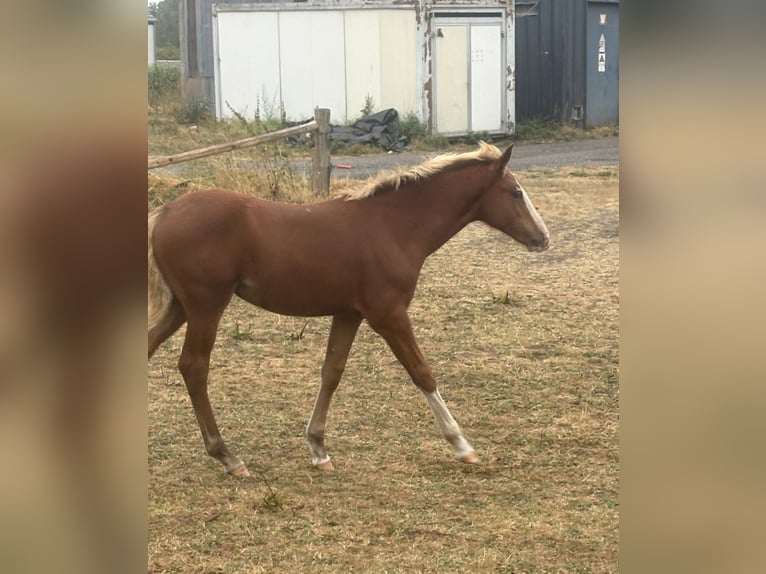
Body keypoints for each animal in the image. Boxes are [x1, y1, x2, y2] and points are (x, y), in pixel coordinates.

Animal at [148, 142, 549, 477]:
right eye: (516, 192)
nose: (542, 238)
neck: (393, 226)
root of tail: (163, 212)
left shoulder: (349, 314)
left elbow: (332, 372)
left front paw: (318, 448)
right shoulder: (388, 315)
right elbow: (422, 373)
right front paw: (462, 445)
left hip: (180, 308)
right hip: (206, 305)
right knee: (194, 367)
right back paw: (228, 457)